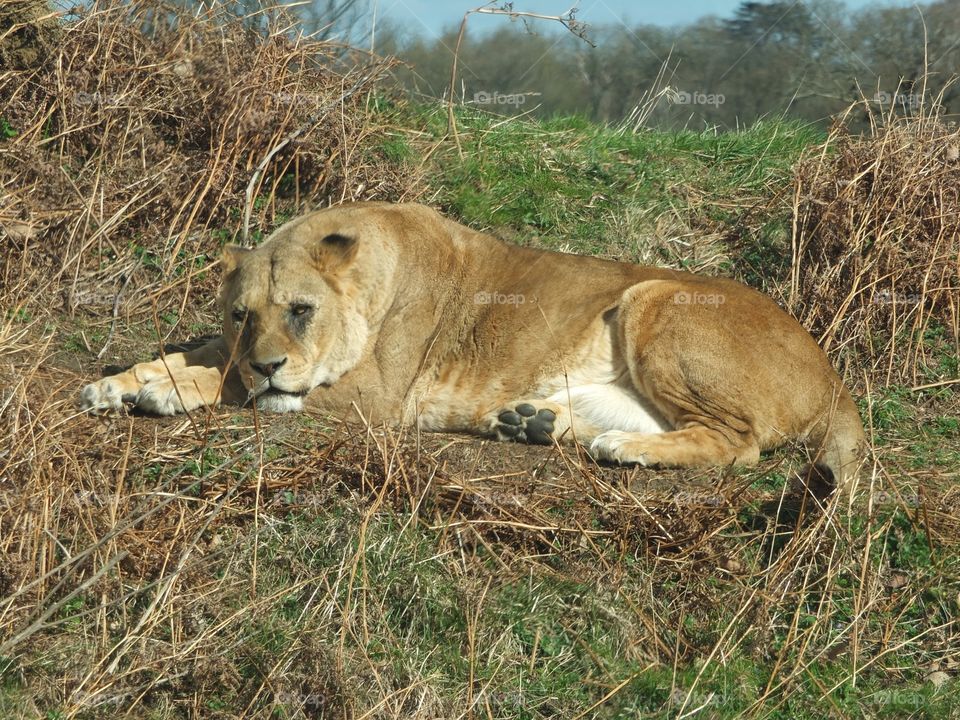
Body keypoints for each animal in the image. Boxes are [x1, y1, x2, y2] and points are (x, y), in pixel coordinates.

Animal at [80, 202, 866, 486]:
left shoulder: (378, 397)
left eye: (301, 311)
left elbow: (234, 383)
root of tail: (834, 375)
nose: (270, 360)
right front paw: (123, 379)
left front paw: (163, 389)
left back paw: (623, 450)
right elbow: (206, 354)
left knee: (740, 443)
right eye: (242, 315)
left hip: (653, 299)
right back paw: (533, 422)